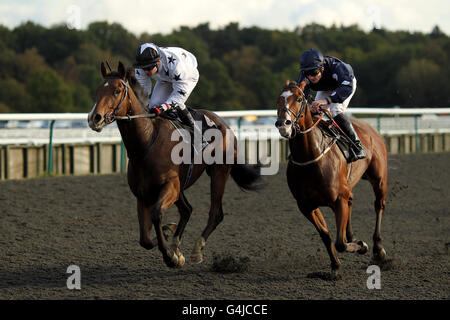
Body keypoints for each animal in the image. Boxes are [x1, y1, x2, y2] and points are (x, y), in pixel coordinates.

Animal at [88, 62, 260, 268]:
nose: (95, 118)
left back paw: (196, 250)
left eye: (116, 90)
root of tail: (224, 124)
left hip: (219, 172)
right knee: (187, 210)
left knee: (215, 213)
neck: (146, 143)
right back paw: (176, 244)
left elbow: (156, 215)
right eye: (98, 90)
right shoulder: (143, 195)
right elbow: (145, 239)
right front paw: (171, 242)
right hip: (183, 185)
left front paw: (170, 255)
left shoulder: (170, 185)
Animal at [276, 80, 388, 278]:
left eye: (298, 99)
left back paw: (378, 249)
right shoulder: (306, 206)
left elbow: (340, 243)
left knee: (378, 205)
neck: (310, 156)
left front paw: (361, 246)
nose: (283, 124)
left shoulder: (338, 199)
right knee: (352, 201)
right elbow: (326, 235)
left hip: (379, 179)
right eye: (278, 99)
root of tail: (369, 128)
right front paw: (335, 266)